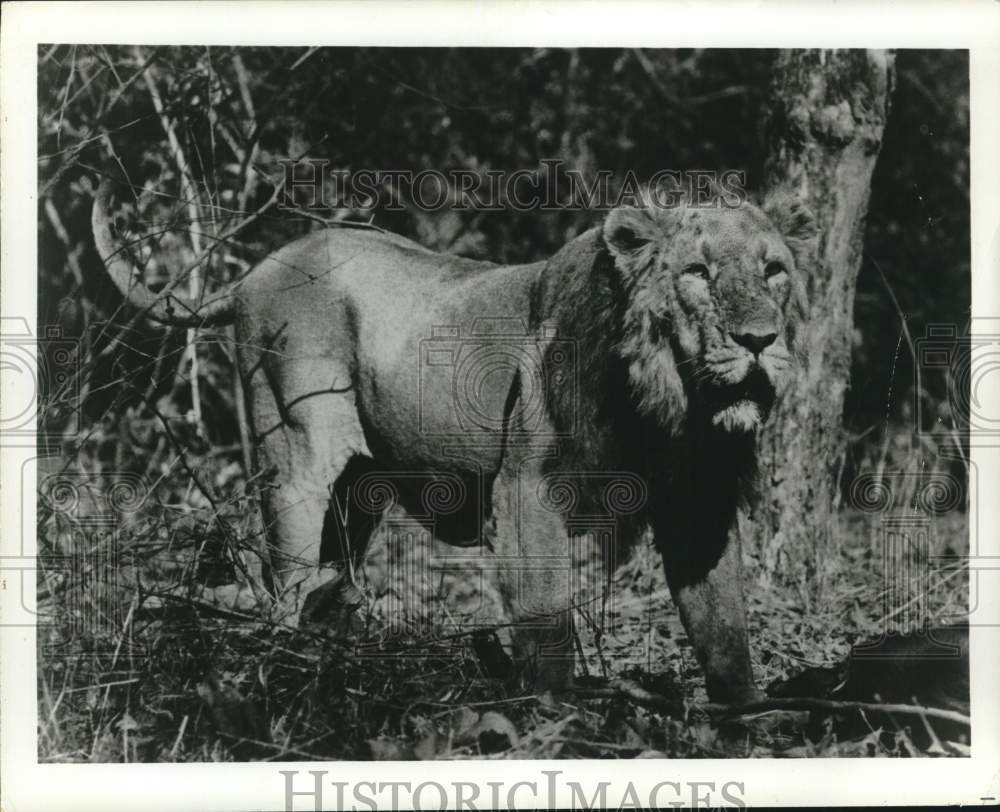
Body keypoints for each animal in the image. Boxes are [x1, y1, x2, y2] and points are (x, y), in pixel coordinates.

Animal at [92, 181, 812, 700]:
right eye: (697, 271)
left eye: (775, 270)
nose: (759, 339)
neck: (668, 404)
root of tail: (257, 267)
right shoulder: (528, 491)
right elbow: (547, 619)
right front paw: (557, 716)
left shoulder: (698, 504)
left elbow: (723, 623)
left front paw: (746, 717)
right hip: (294, 452)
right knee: (288, 579)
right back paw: (294, 670)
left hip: (360, 488)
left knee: (332, 576)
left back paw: (343, 662)